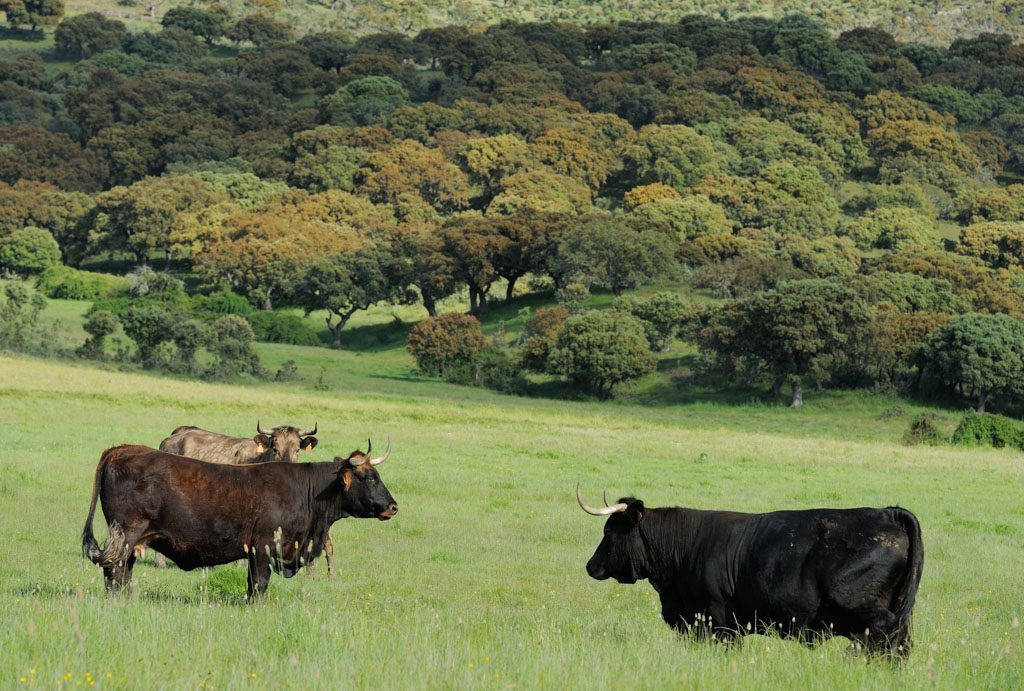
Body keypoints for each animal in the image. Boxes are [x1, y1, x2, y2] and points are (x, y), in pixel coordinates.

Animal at [81, 441, 397, 600]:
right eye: (368, 477)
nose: (393, 507)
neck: (306, 491)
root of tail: (121, 449)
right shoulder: (263, 548)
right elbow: (259, 585)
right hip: (126, 535)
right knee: (113, 570)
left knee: (122, 571)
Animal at [576, 486, 923, 659]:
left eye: (610, 531)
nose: (591, 566)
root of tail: (887, 512)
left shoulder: (719, 618)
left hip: (862, 607)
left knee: (885, 636)